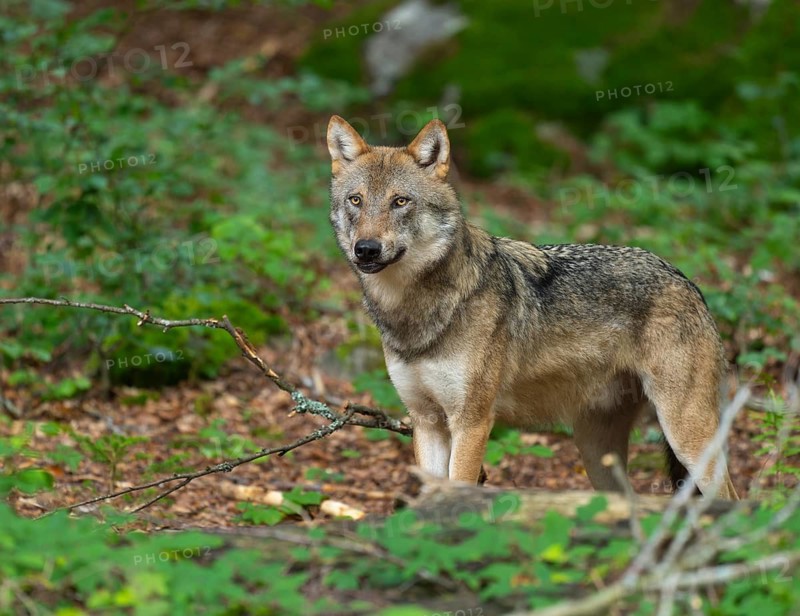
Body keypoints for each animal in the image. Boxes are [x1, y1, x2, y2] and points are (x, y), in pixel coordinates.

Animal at [326, 115, 738, 499]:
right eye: (356, 200)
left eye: (400, 201)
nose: (366, 249)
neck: (416, 310)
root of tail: (688, 281)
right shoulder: (426, 421)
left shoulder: (472, 422)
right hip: (596, 451)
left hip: (687, 436)